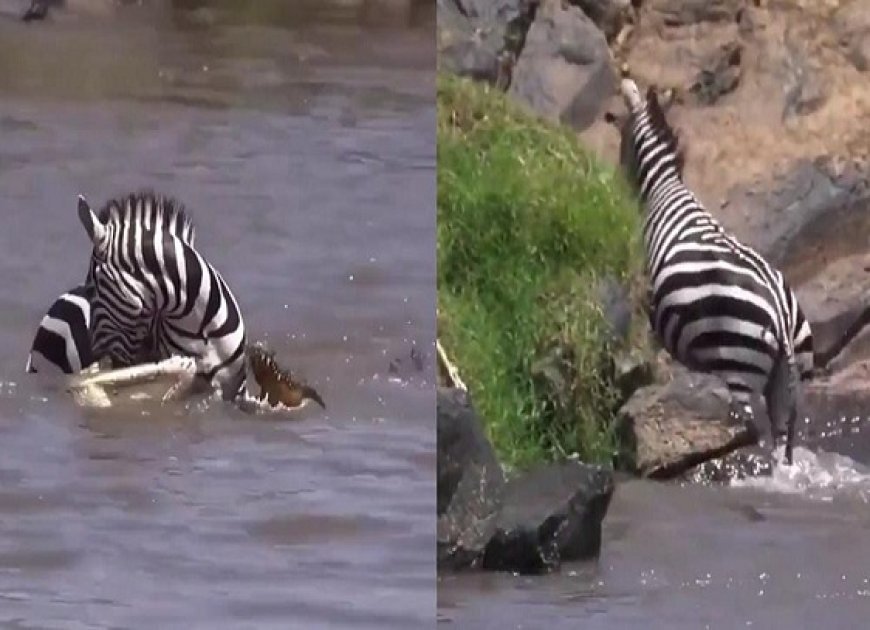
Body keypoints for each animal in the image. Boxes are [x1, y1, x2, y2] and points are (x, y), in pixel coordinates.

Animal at [605, 78, 813, 464]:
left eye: (622, 142)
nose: (618, 185)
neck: (663, 187)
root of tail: (780, 315)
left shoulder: (648, 302)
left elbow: (649, 357)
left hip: (739, 370)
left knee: (757, 440)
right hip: (794, 379)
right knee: (784, 443)